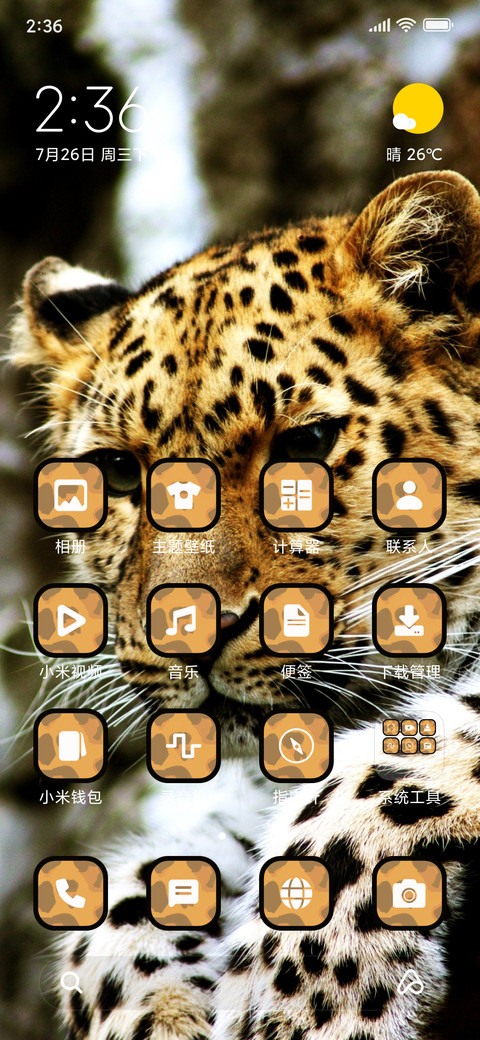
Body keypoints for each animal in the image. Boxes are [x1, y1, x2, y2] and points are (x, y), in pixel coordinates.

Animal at [10, 170, 480, 1040]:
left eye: (305, 447)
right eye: (117, 473)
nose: (185, 629)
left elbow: (390, 767)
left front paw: (305, 997)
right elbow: (132, 895)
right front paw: (145, 1003)